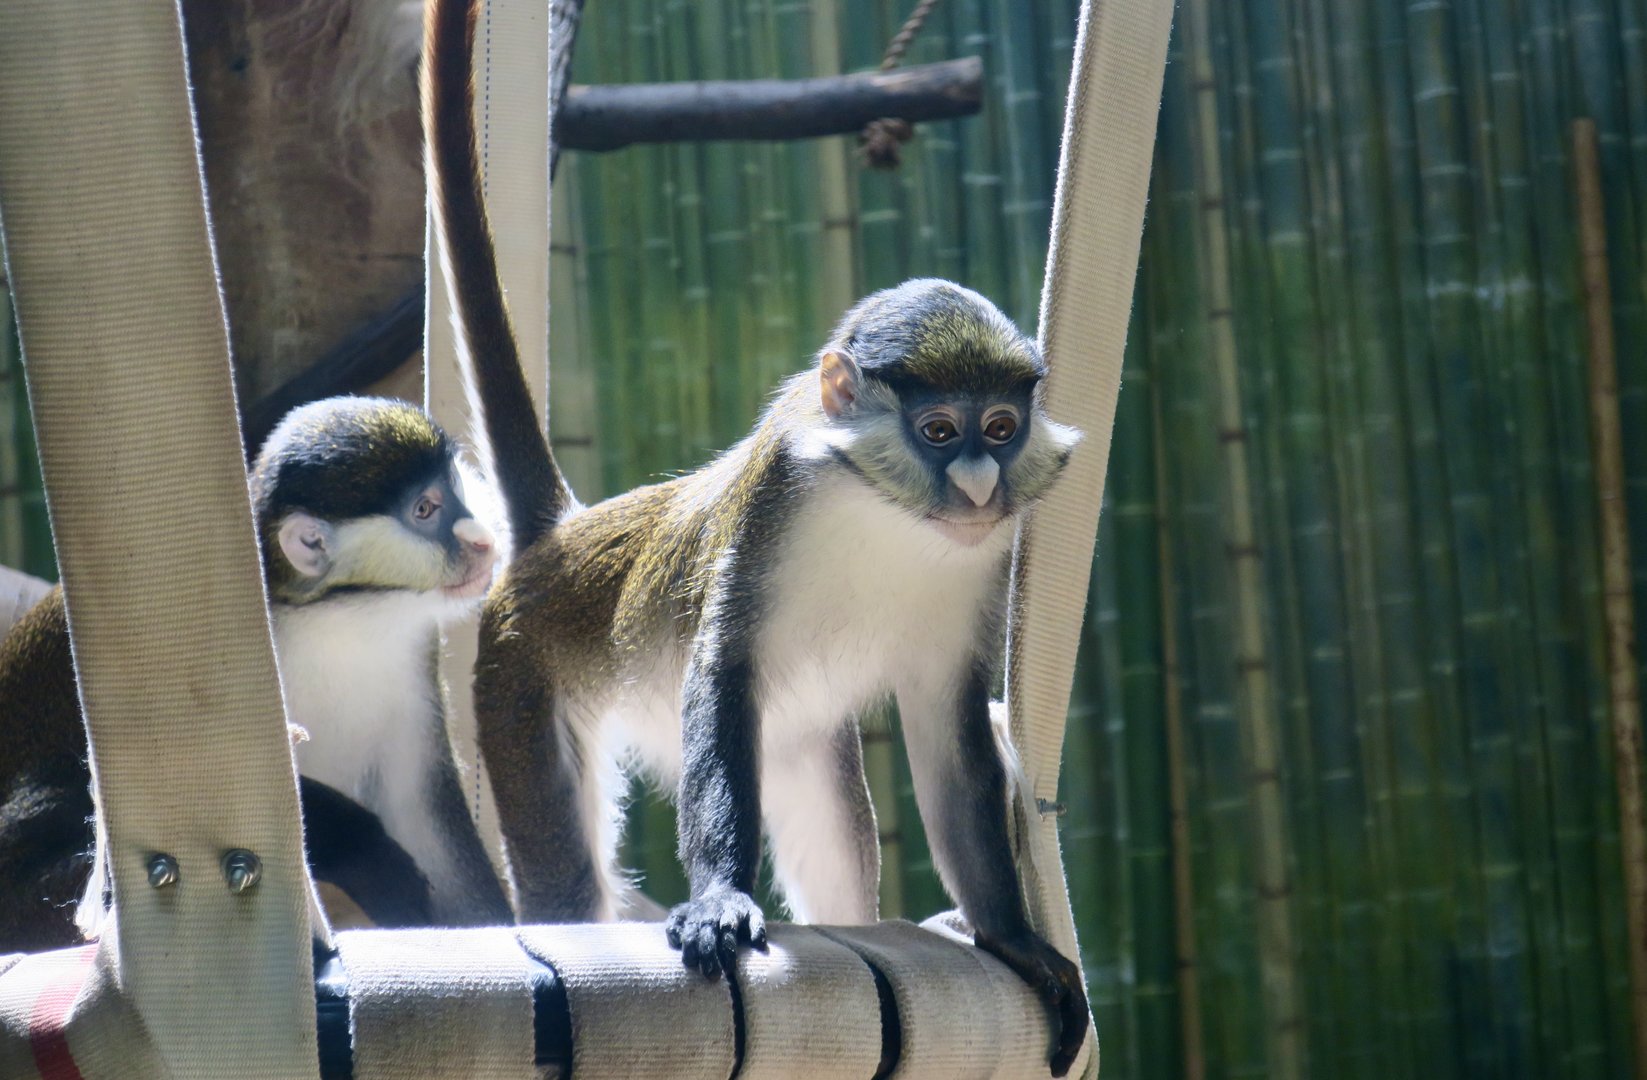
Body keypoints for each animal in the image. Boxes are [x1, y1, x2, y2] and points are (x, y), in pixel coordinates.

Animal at [0, 395, 512, 950]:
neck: (334, 615)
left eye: (454, 489)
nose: (483, 542)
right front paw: (369, 852)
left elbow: (425, 816)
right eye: (425, 510)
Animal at [425, 1, 1088, 1072]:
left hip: (795, 743)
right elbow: (721, 670)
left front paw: (1011, 936)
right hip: (517, 681)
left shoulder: (980, 574)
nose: (980, 484)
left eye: (999, 426)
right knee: (568, 876)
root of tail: (562, 538)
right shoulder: (775, 499)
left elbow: (948, 731)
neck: (885, 513)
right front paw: (719, 903)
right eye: (938, 430)